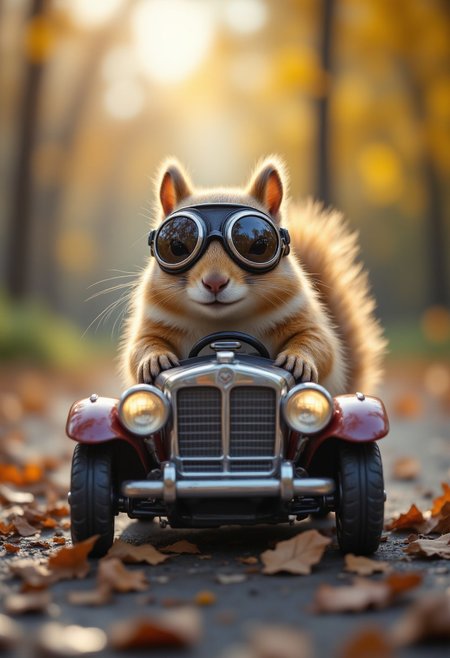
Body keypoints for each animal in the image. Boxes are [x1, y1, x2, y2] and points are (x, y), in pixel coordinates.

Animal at [121, 156, 386, 396]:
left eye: (259, 245)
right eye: (175, 246)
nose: (214, 282)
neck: (224, 325)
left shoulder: (302, 316)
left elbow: (320, 344)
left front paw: (298, 359)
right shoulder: (154, 322)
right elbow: (139, 347)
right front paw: (154, 359)